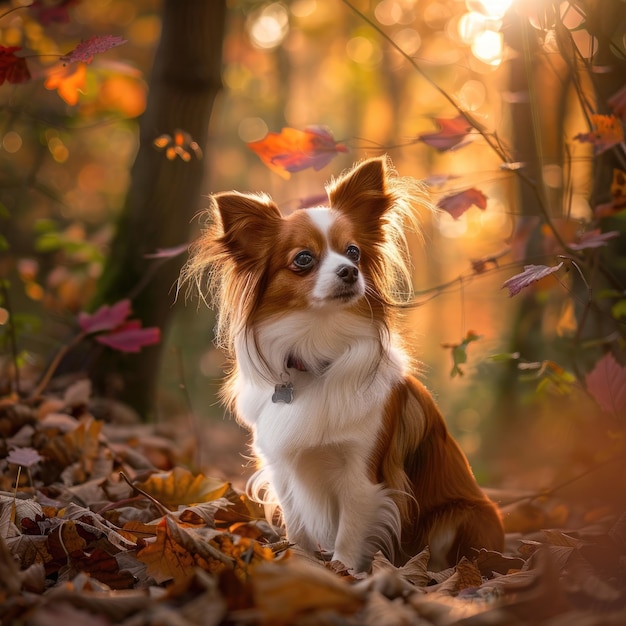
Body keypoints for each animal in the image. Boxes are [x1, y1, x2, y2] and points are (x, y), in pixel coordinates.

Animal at [184, 157, 502, 572]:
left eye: (353, 252)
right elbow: (297, 524)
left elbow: (350, 529)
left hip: (462, 515)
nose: (349, 271)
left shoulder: (362, 472)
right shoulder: (284, 470)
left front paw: (344, 572)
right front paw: (300, 563)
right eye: (304, 258)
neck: (317, 348)